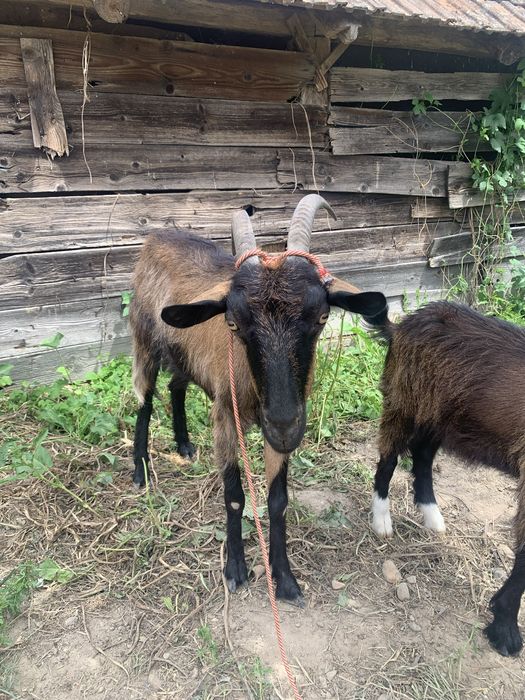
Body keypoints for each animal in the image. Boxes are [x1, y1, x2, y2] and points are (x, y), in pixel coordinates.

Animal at [129, 194, 387, 603]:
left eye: (322, 317)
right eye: (233, 323)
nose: (283, 422)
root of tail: (158, 235)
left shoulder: (278, 430)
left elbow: (278, 501)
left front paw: (285, 580)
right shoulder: (225, 418)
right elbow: (235, 496)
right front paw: (235, 570)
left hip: (185, 355)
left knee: (176, 387)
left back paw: (184, 445)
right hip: (145, 340)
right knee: (146, 398)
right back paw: (140, 470)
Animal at [367, 300, 525, 656]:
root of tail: (401, 326)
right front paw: (505, 630)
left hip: (439, 415)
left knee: (423, 456)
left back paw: (432, 515)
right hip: (406, 400)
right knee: (389, 458)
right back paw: (382, 519)